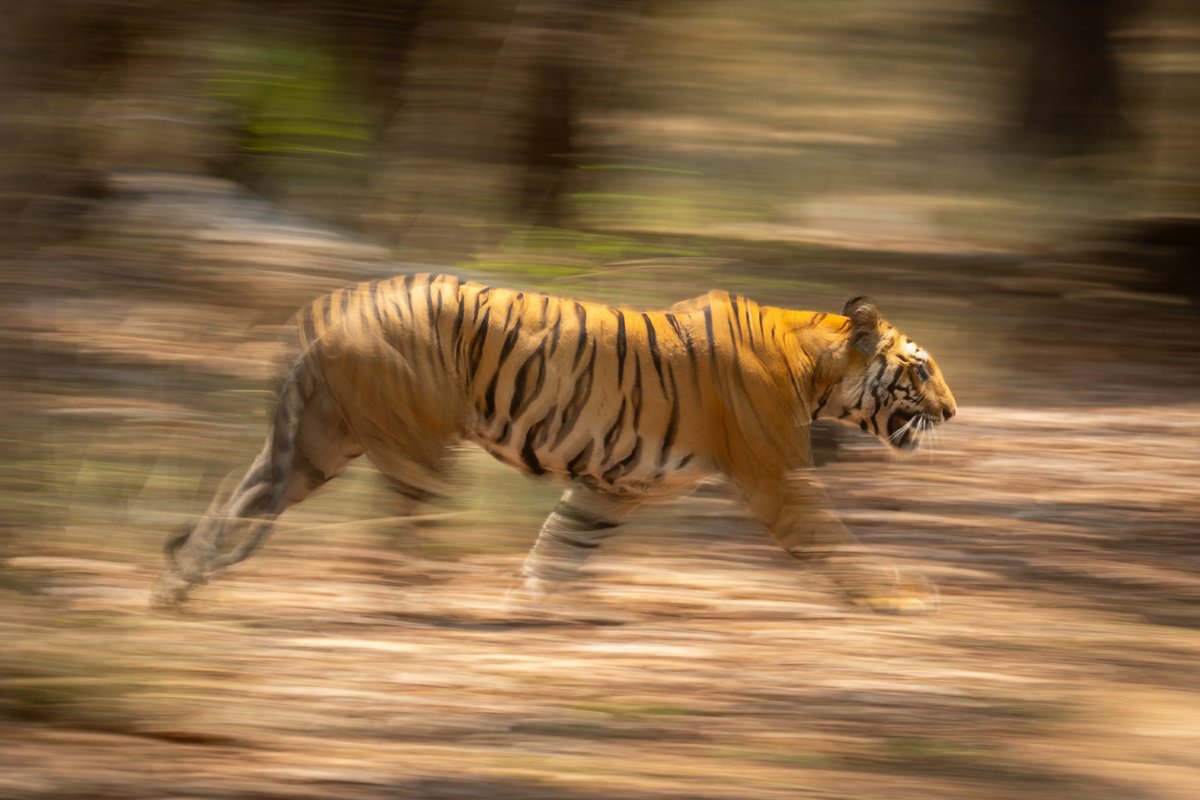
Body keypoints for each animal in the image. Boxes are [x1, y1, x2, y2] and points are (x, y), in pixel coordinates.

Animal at [151, 273, 956, 613]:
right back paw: (424, 600)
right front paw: (896, 594)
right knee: (397, 534)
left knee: (238, 496)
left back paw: (178, 583)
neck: (815, 365)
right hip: (410, 445)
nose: (952, 410)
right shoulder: (778, 479)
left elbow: (563, 544)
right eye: (920, 369)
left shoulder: (615, 486)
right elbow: (832, 540)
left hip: (317, 443)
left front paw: (528, 602)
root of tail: (325, 304)